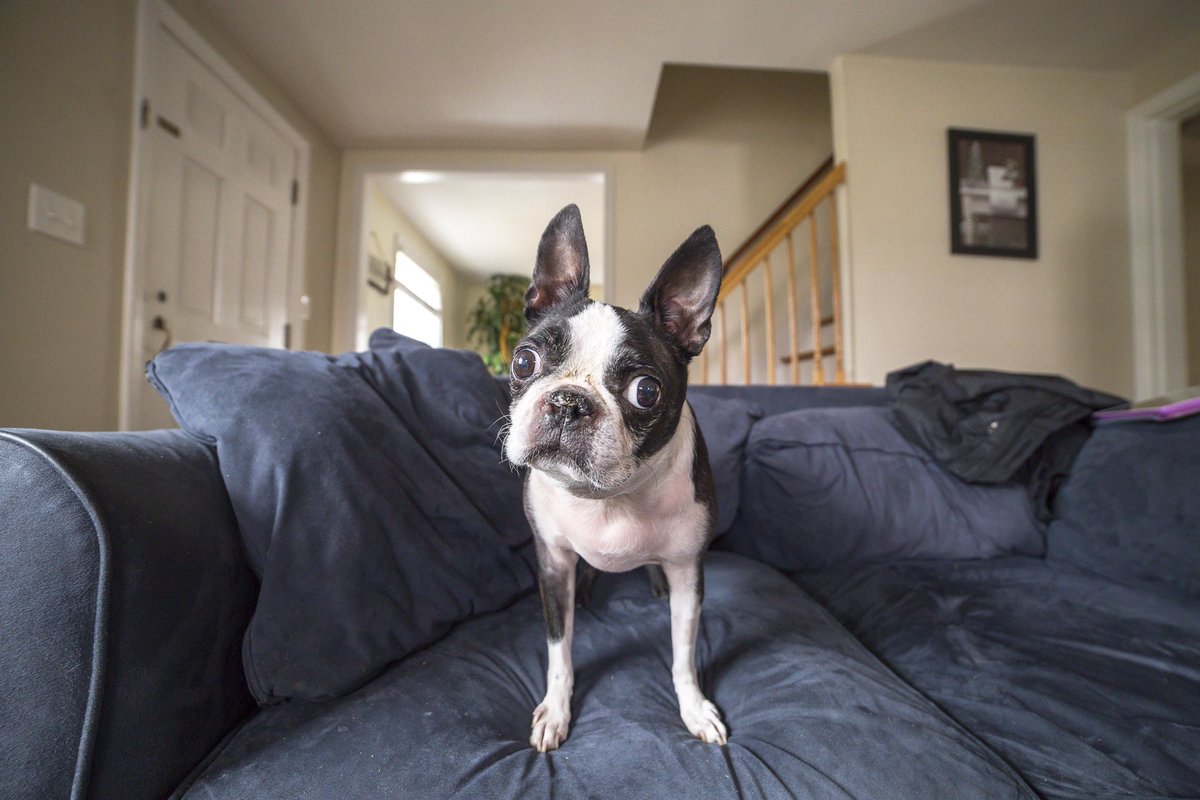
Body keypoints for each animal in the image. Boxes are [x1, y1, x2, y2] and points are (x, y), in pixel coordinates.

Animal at [504, 205, 724, 753]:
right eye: (524, 361)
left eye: (645, 391)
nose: (568, 403)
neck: (609, 497)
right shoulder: (551, 564)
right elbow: (559, 651)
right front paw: (555, 711)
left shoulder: (690, 573)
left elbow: (683, 656)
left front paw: (694, 708)